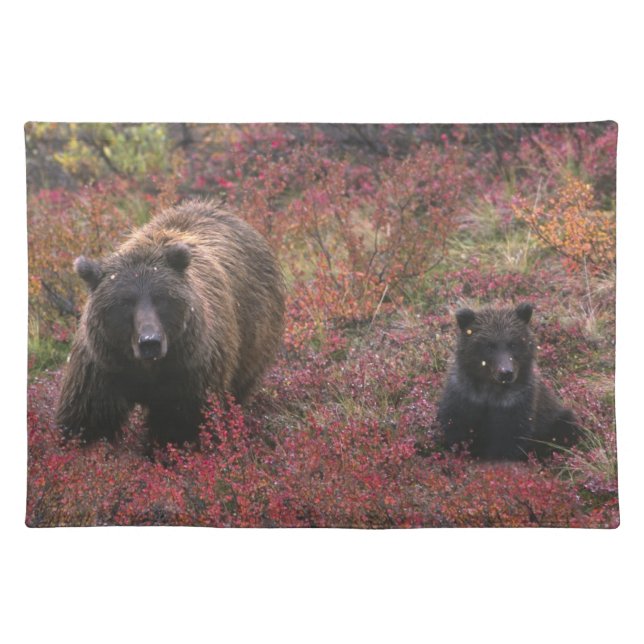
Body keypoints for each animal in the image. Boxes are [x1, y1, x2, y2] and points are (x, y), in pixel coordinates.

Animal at [56, 200, 285, 447]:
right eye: (125, 302)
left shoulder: (189, 370)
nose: (150, 342)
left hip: (254, 334)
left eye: (161, 298)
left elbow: (180, 423)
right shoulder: (103, 366)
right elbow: (89, 419)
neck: (146, 368)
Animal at [437, 303, 578, 460]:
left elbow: (508, 443)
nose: (506, 373)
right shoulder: (464, 398)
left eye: (513, 344)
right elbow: (456, 431)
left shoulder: (515, 405)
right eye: (489, 345)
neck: (490, 390)